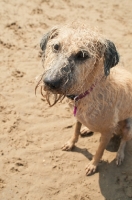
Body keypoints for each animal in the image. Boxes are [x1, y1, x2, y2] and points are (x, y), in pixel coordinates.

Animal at [35, 21, 132, 175]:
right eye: (56, 46)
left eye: (82, 55)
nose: (50, 82)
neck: (88, 91)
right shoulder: (78, 116)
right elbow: (75, 130)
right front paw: (71, 143)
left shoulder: (107, 132)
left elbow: (99, 151)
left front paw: (93, 165)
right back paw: (87, 129)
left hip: (129, 127)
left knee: (124, 141)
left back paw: (119, 155)